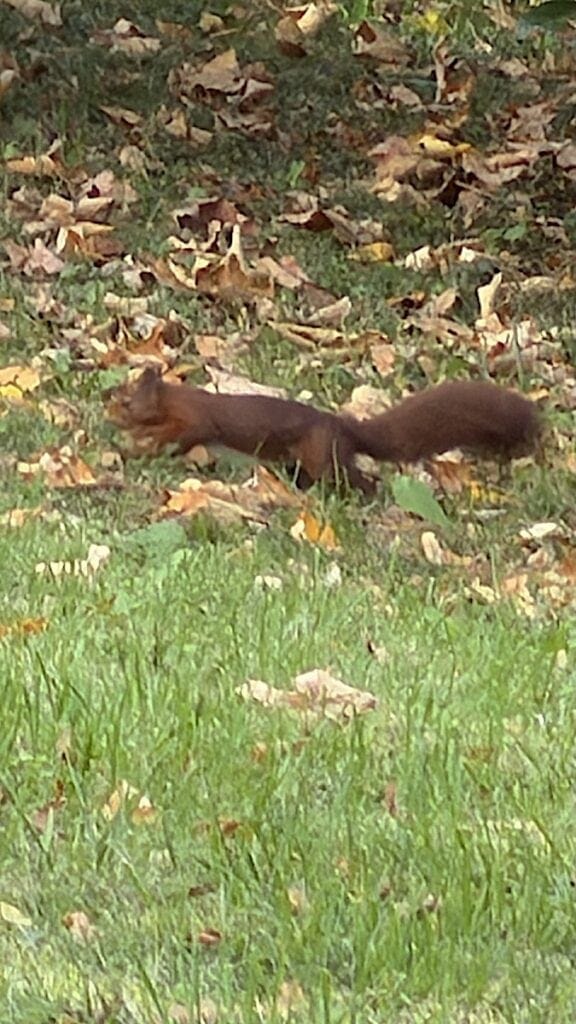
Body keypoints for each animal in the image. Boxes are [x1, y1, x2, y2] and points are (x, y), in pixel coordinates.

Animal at [106, 366, 540, 494]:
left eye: (126, 401)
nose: (106, 408)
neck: (176, 399)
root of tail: (343, 427)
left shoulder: (198, 418)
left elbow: (187, 432)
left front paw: (144, 444)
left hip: (322, 454)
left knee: (355, 478)